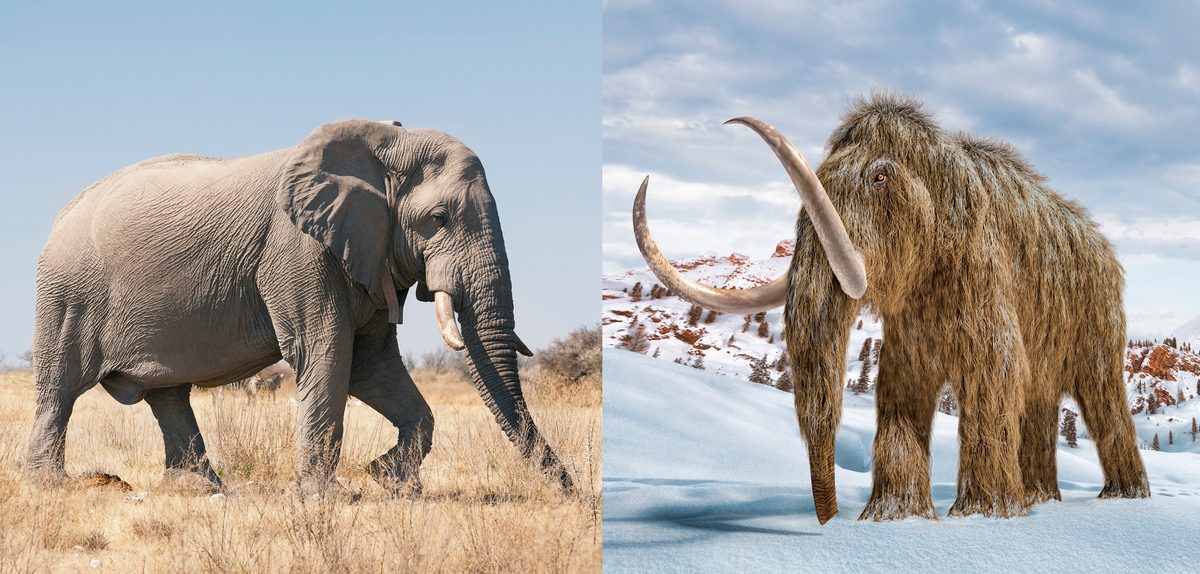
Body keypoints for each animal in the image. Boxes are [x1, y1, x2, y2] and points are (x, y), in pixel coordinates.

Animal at [26, 119, 575, 497]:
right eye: (438, 218)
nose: (576, 496)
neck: (384, 144)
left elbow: (373, 365)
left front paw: (390, 481)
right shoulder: (298, 251)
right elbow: (326, 354)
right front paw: (329, 497)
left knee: (169, 395)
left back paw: (200, 489)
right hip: (67, 295)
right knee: (60, 391)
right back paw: (50, 486)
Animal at [633, 93, 1149, 523]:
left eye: (879, 177)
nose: (829, 521)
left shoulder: (983, 275)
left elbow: (994, 372)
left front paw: (983, 514)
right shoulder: (909, 322)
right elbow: (901, 385)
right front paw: (893, 517)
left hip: (1097, 320)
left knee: (1103, 398)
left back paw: (1122, 497)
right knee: (1038, 399)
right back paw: (1041, 498)